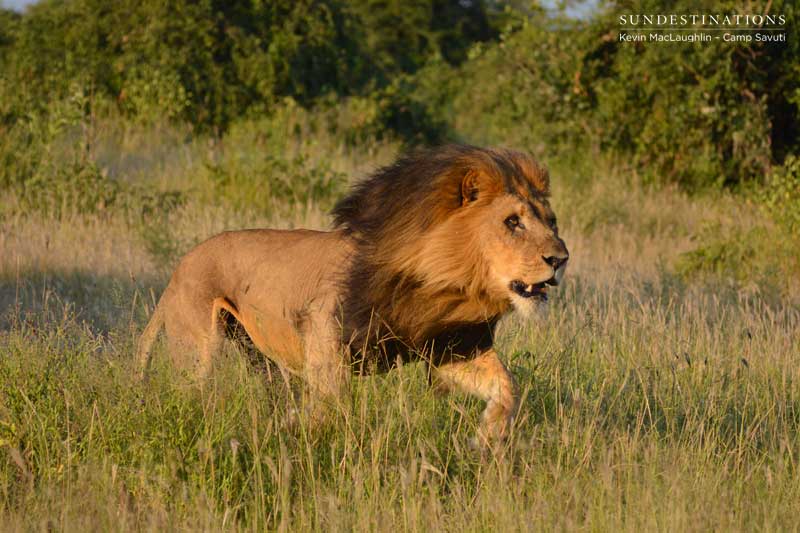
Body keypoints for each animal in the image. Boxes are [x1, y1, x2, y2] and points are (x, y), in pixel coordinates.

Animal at [137, 144, 569, 445]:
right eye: (511, 222)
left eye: (551, 222)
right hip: (197, 353)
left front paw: (484, 438)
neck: (436, 281)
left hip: (260, 359)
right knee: (187, 395)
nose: (560, 259)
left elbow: (508, 387)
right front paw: (297, 434)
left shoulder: (452, 347)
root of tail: (178, 269)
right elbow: (328, 409)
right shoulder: (324, 336)